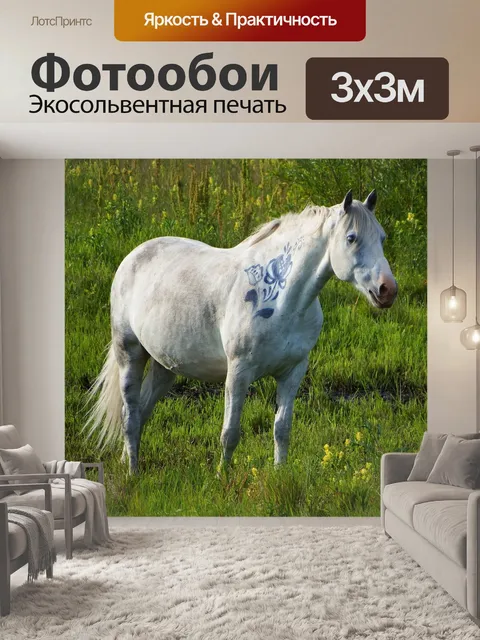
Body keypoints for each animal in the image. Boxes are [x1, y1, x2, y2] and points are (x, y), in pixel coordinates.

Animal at [87, 189, 398, 474]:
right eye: (351, 238)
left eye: (382, 238)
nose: (388, 290)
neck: (285, 303)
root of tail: (134, 256)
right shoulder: (238, 372)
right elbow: (230, 433)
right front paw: (222, 478)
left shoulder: (293, 372)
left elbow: (282, 429)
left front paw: (279, 475)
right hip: (129, 353)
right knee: (130, 415)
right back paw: (132, 472)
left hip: (165, 366)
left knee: (142, 410)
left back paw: (127, 460)